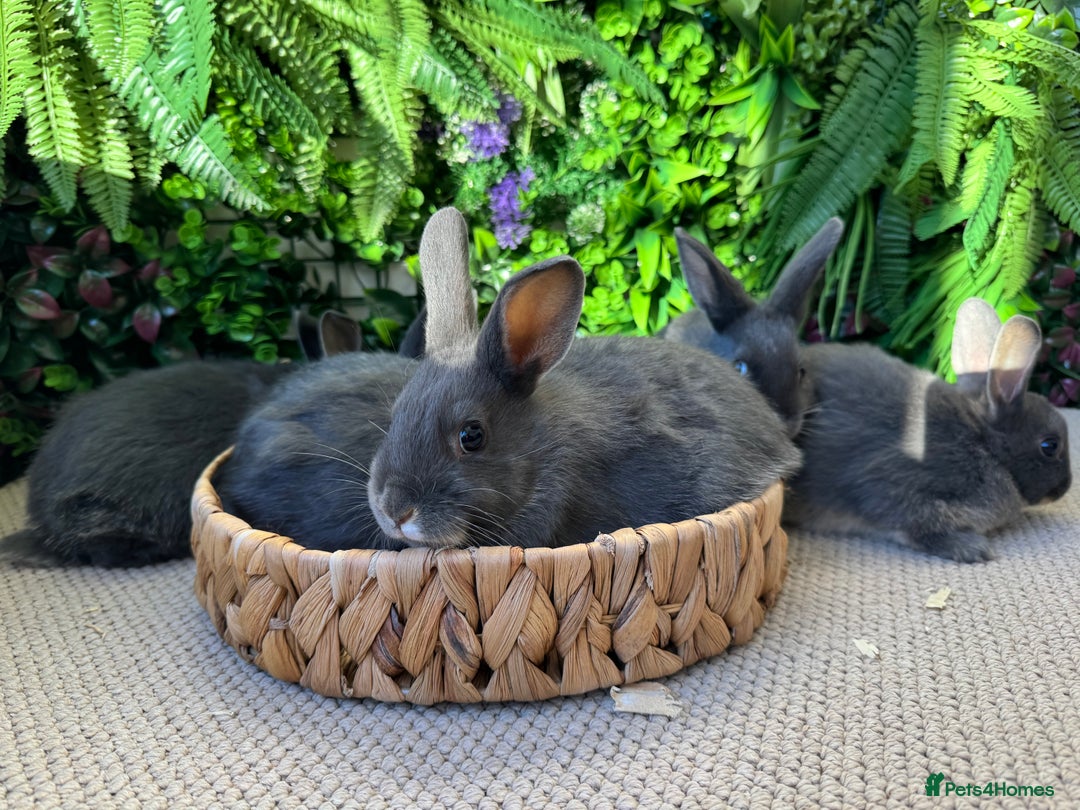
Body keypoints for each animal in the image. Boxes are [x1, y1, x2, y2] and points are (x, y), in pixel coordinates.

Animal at [784, 298, 1072, 563]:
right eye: (1050, 446)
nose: (1065, 487)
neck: (983, 442)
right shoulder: (896, 487)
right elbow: (917, 525)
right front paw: (972, 548)